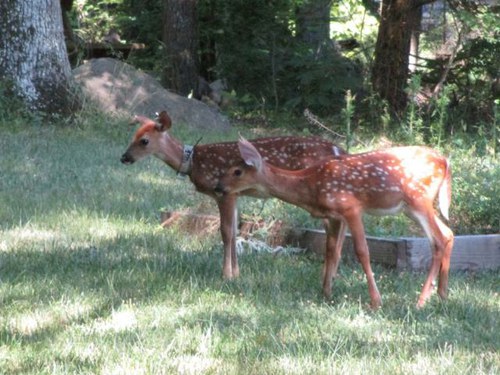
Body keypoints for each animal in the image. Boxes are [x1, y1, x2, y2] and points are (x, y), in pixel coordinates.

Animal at [122, 111, 348, 280]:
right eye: (132, 136)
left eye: (144, 141)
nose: (124, 157)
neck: (194, 161)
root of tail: (339, 150)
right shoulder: (234, 194)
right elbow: (234, 231)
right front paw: (237, 274)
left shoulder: (222, 193)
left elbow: (226, 232)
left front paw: (226, 275)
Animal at [215, 138, 454, 308]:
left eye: (237, 172)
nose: (219, 187)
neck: (310, 186)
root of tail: (445, 161)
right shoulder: (333, 216)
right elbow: (331, 250)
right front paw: (326, 292)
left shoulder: (351, 208)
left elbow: (362, 251)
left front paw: (376, 301)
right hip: (412, 207)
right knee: (449, 233)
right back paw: (442, 295)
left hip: (419, 199)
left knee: (438, 240)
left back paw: (421, 301)